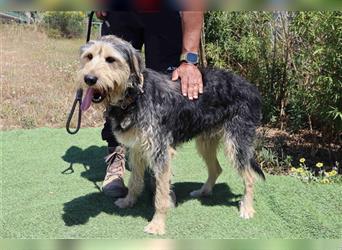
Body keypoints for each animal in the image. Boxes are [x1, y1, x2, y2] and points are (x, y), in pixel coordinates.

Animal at [77, 35, 264, 236]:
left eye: (111, 59)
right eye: (89, 57)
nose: (89, 79)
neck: (134, 96)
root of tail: (252, 89)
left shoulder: (160, 151)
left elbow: (160, 195)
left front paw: (157, 224)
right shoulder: (136, 149)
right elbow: (135, 181)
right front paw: (128, 202)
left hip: (236, 144)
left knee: (249, 177)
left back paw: (247, 208)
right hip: (205, 142)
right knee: (216, 169)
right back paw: (203, 192)